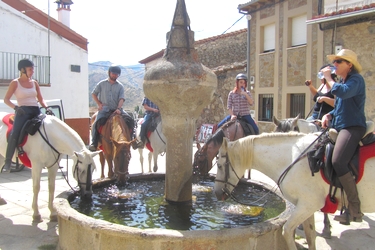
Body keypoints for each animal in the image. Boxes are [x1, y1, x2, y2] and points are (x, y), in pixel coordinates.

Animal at [214, 134, 375, 250]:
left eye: (220, 166)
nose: (217, 193)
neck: (292, 159)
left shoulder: (308, 205)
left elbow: (287, 231)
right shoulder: (306, 207)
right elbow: (310, 235)